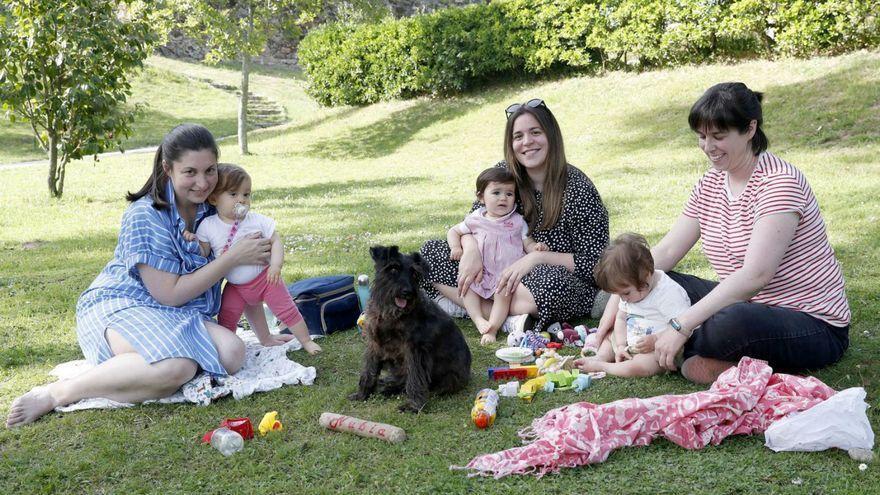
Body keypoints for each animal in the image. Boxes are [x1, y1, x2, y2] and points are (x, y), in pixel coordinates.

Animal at [350, 246, 474, 412]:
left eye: (414, 273)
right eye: (393, 269)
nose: (407, 292)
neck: (391, 315)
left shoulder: (415, 350)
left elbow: (415, 378)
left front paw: (413, 406)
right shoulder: (374, 344)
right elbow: (369, 371)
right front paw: (362, 394)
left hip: (448, 379)